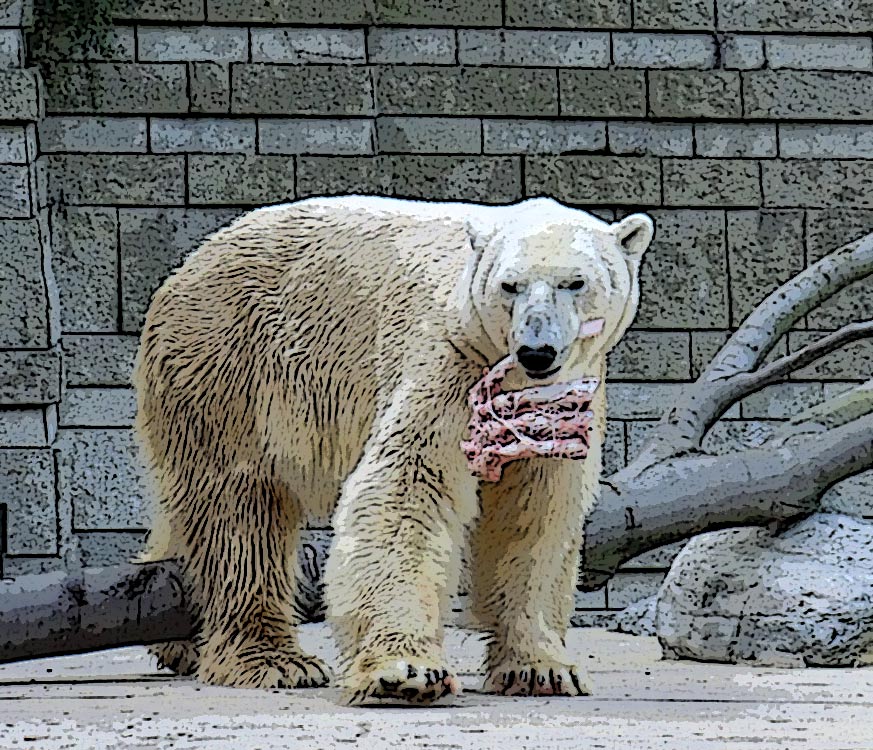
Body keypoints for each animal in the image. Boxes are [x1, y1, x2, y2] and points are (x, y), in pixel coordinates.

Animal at [133, 197, 652, 708]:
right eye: (510, 285)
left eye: (575, 282)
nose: (536, 351)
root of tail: (188, 264)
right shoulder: (450, 360)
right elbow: (408, 486)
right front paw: (407, 672)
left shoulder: (560, 402)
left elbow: (536, 511)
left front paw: (541, 668)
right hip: (230, 364)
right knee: (238, 508)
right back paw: (274, 660)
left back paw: (178, 641)